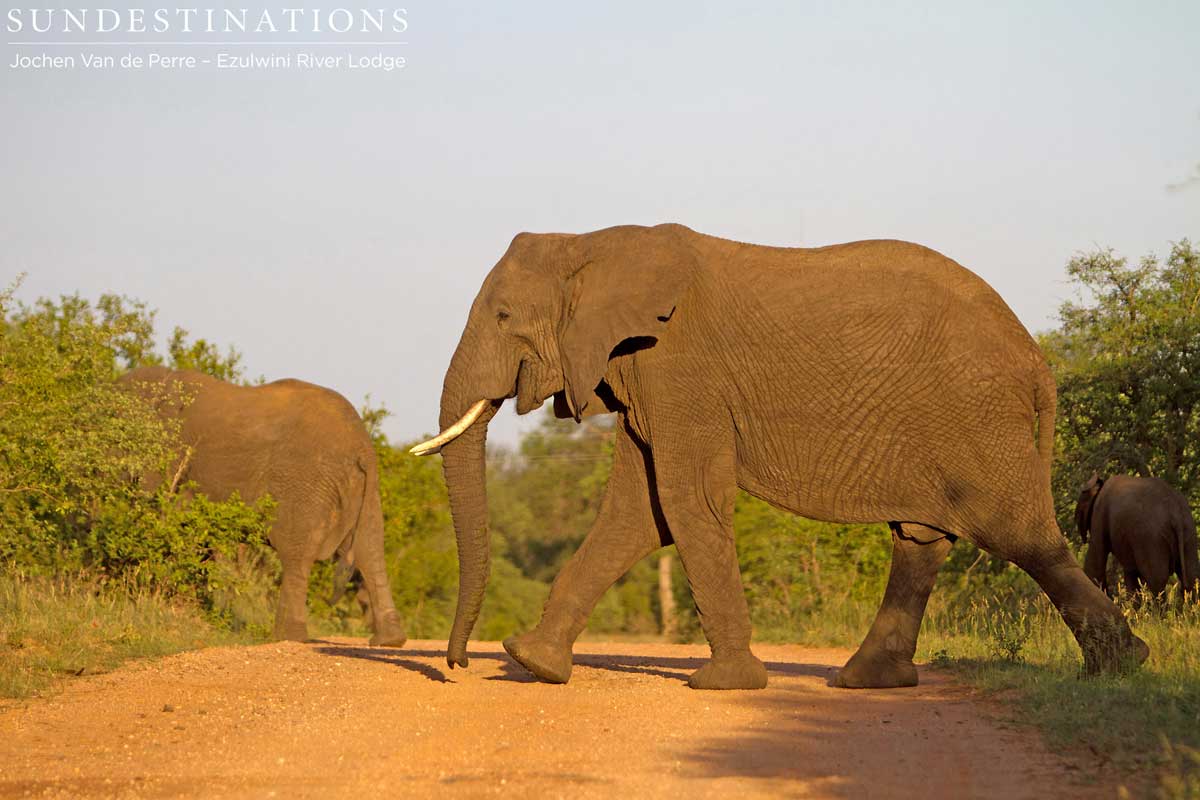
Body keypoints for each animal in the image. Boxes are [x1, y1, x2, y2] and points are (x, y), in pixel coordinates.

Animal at [119, 366, 407, 647]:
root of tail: (362, 447)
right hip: (365, 490)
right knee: (370, 550)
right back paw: (389, 640)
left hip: (304, 482)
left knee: (296, 553)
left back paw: (287, 636)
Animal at [410, 223, 1148, 689]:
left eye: (503, 317)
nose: (458, 666)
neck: (591, 244)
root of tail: (1036, 358)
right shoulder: (646, 377)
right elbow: (637, 512)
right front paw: (533, 663)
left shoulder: (681, 371)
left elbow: (685, 501)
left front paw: (724, 684)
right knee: (921, 538)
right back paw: (865, 682)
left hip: (976, 416)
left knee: (1019, 535)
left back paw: (1122, 668)